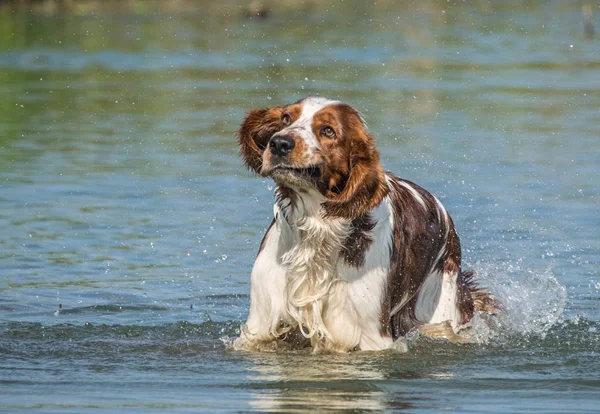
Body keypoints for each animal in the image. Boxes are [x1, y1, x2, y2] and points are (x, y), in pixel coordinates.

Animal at [233, 96, 492, 352]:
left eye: (328, 130)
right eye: (286, 118)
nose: (279, 143)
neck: (317, 226)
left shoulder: (371, 335)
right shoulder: (260, 323)